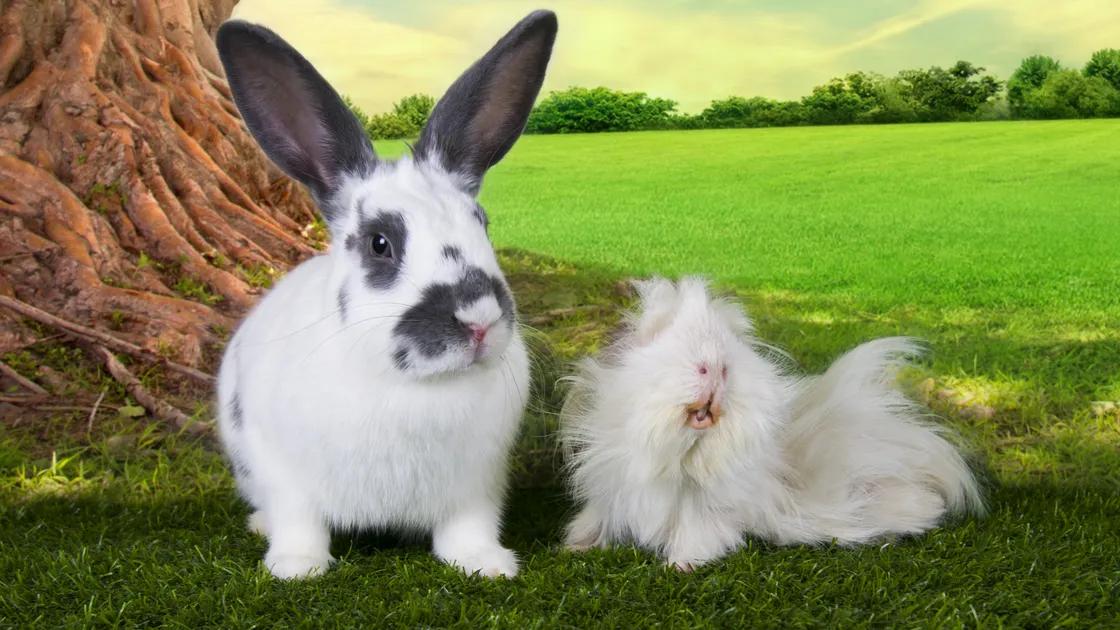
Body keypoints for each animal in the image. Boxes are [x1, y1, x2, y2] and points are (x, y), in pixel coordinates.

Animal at [212, 10, 559, 580]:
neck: (415, 387)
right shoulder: (285, 474)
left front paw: (486, 565)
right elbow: (299, 522)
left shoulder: (477, 486)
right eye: (380, 243)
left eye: (482, 223)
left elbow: (469, 528)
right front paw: (296, 568)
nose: (479, 319)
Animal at [558, 276, 986, 571]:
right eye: (662, 336)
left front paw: (678, 568)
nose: (715, 367)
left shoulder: (704, 513)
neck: (684, 450)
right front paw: (572, 547)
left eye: (727, 342)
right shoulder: (610, 495)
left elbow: (696, 539)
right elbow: (594, 523)